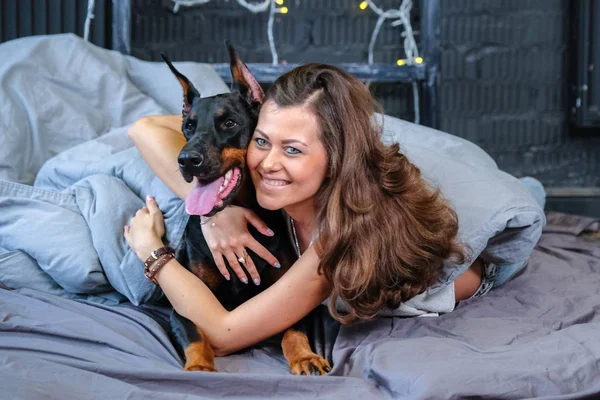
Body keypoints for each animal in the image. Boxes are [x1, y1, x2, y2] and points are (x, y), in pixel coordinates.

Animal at [161, 43, 332, 376]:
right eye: (188, 126)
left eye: (229, 123)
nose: (186, 160)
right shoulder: (185, 301)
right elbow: (194, 334)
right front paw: (199, 367)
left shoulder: (283, 297)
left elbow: (293, 330)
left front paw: (304, 356)